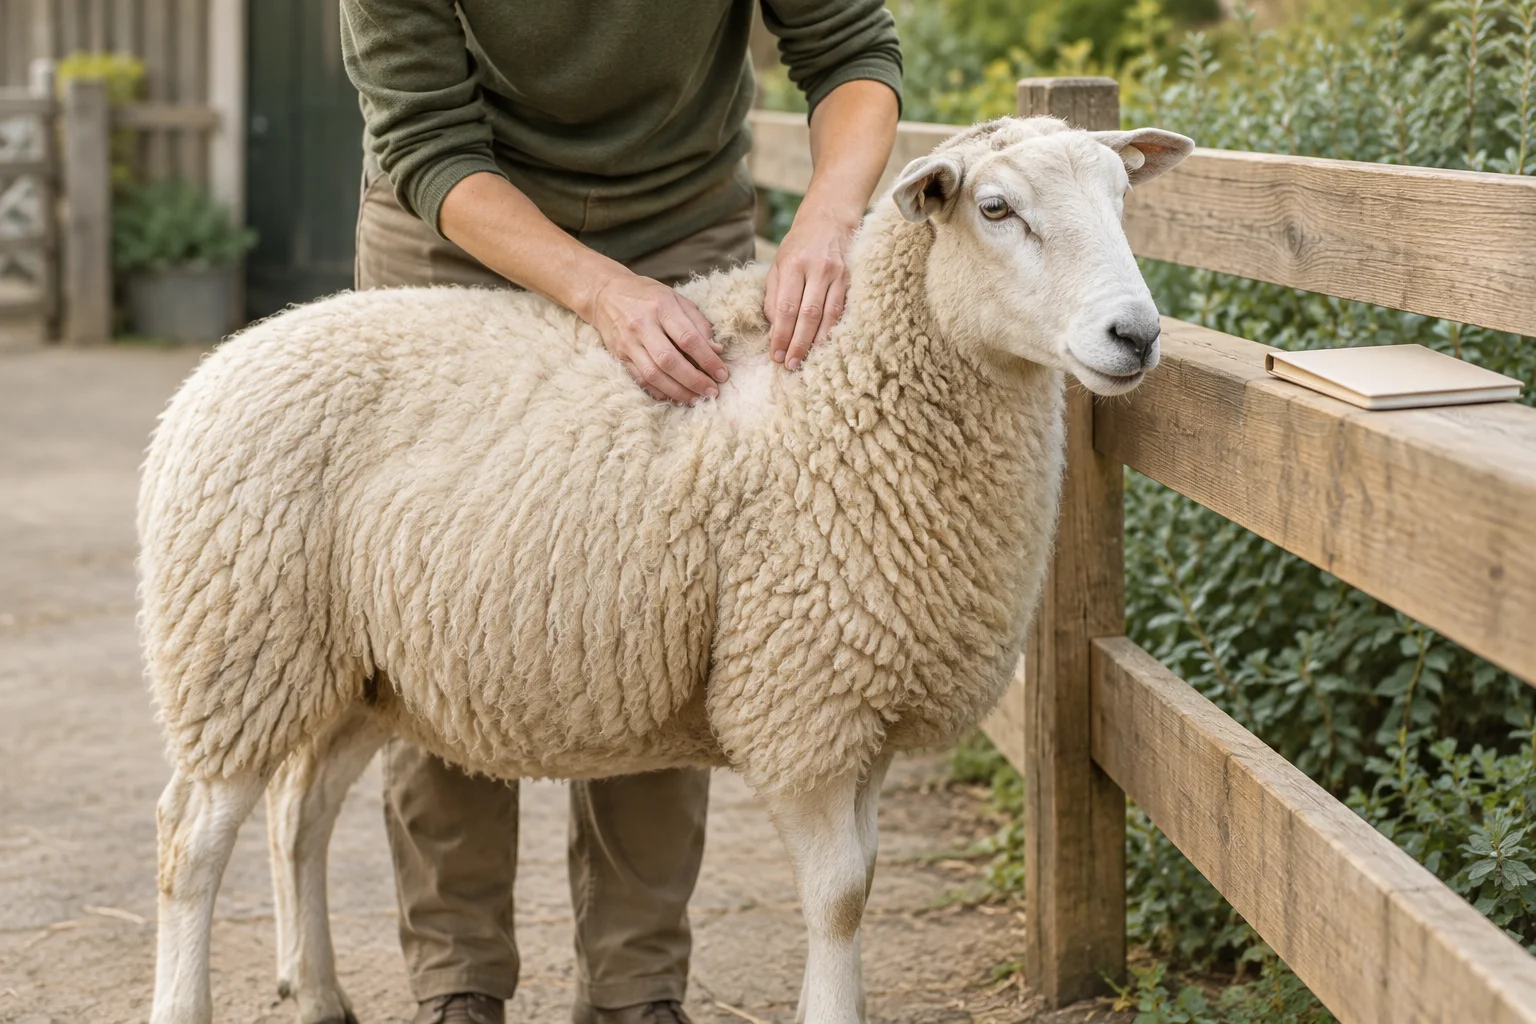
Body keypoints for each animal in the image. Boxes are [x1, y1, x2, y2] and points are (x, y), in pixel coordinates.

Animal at [140, 114, 1193, 1024]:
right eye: (997, 210)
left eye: (1121, 197)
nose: (1136, 336)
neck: (853, 382)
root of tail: (228, 357)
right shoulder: (806, 694)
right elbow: (840, 897)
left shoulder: (870, 694)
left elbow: (859, 883)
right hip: (236, 641)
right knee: (190, 841)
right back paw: (189, 999)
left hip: (350, 668)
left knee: (299, 814)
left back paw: (316, 992)